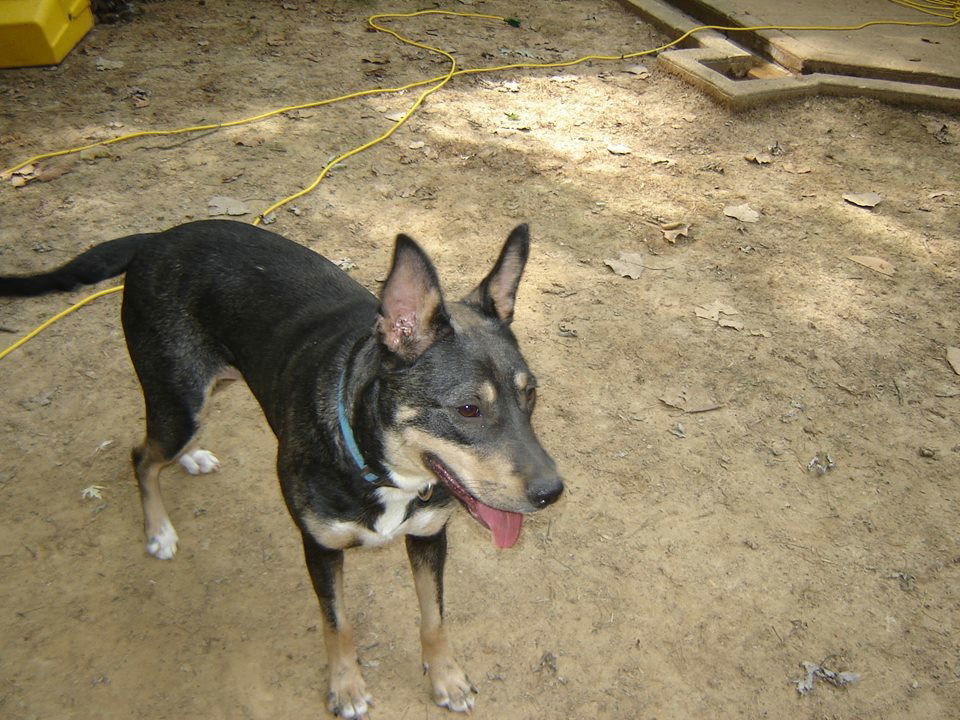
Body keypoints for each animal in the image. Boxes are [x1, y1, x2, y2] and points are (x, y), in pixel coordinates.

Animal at [0, 221, 568, 720]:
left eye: (531, 394)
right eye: (469, 409)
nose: (552, 492)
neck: (378, 466)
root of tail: (159, 237)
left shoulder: (429, 537)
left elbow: (434, 618)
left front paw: (445, 677)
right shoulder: (319, 547)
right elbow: (338, 625)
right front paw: (346, 688)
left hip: (207, 389)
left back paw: (192, 459)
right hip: (178, 398)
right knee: (140, 456)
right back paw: (159, 529)